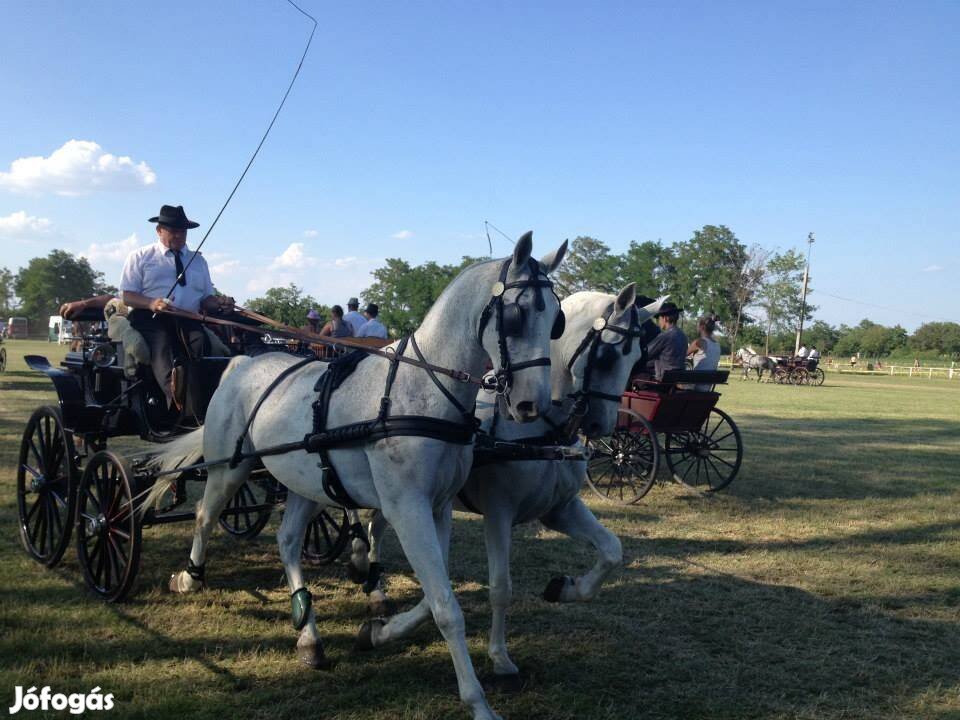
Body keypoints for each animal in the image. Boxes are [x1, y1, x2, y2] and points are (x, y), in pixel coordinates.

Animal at [142, 233, 564, 716]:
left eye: (556, 318)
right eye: (517, 313)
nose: (533, 405)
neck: (422, 392)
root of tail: (240, 363)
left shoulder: (438, 509)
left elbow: (430, 598)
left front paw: (377, 632)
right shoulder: (407, 510)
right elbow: (445, 607)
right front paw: (477, 701)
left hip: (304, 483)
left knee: (288, 540)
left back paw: (309, 636)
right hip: (228, 469)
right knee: (205, 517)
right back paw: (189, 578)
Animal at [346, 286, 668, 688]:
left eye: (639, 359)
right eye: (608, 356)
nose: (601, 425)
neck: (538, 431)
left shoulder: (559, 509)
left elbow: (612, 551)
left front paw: (564, 588)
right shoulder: (498, 513)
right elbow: (500, 587)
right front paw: (499, 657)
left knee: (376, 526)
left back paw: (373, 583)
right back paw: (362, 568)